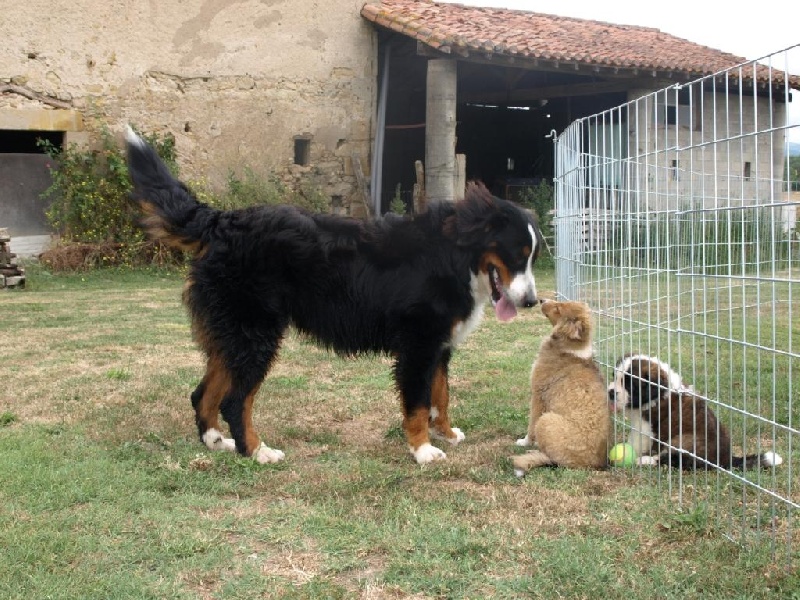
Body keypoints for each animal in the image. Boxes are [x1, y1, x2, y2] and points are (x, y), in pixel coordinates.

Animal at [126, 126, 544, 464]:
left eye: (533, 257)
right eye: (516, 254)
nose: (531, 302)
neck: (454, 253)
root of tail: (222, 220)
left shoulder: (438, 346)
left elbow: (440, 396)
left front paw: (446, 433)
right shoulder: (419, 345)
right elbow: (418, 402)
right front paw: (423, 449)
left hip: (232, 336)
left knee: (203, 394)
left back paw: (216, 442)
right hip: (256, 335)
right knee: (235, 400)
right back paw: (257, 451)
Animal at [512, 302, 612, 476]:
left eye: (558, 309)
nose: (541, 300)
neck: (570, 349)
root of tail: (594, 465)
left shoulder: (538, 396)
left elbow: (530, 426)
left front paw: (524, 442)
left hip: (545, 421)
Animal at [608, 354, 780, 472]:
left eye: (630, 386)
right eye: (615, 377)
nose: (611, 392)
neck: (660, 391)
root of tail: (725, 460)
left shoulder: (644, 425)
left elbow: (635, 441)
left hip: (683, 440)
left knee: (675, 460)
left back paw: (645, 460)